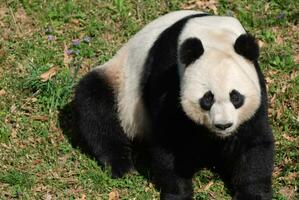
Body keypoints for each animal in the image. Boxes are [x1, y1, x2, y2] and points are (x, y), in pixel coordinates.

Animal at [74, 10, 276, 200]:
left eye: (236, 97)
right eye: (207, 99)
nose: (223, 125)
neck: (213, 36)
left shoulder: (255, 83)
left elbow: (253, 142)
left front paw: (252, 194)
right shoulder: (169, 73)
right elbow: (170, 139)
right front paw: (179, 193)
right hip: (120, 85)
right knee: (94, 103)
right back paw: (121, 165)